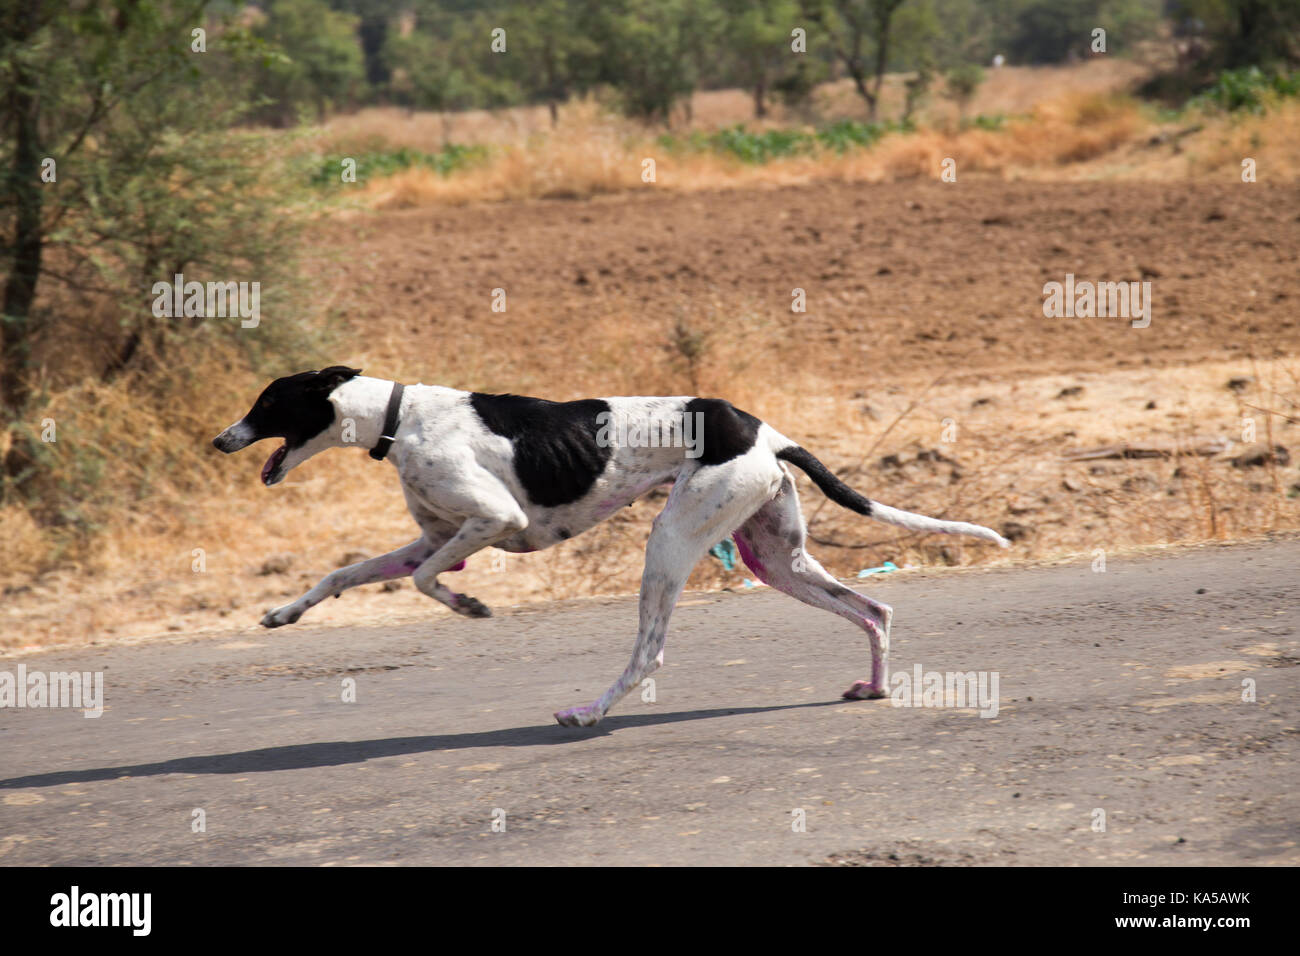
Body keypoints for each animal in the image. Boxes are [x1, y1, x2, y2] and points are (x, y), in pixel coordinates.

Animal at [213, 366, 1008, 723]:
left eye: (266, 403)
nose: (220, 439)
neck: (398, 415)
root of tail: (766, 431)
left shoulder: (492, 521)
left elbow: (426, 581)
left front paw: (469, 604)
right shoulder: (432, 538)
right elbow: (344, 574)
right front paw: (282, 613)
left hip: (671, 543)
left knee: (649, 652)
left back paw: (591, 712)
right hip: (777, 559)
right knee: (873, 610)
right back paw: (875, 684)